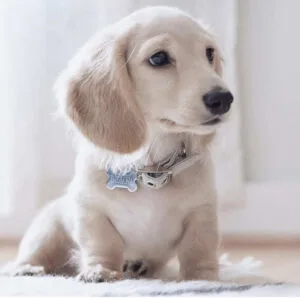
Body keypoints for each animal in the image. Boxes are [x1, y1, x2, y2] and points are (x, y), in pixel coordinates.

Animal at [2, 6, 234, 282]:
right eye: (159, 58)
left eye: (209, 53)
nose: (224, 99)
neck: (152, 168)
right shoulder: (91, 211)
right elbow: (103, 244)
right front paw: (100, 271)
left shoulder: (202, 212)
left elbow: (199, 248)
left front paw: (202, 277)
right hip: (46, 230)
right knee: (33, 253)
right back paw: (25, 268)